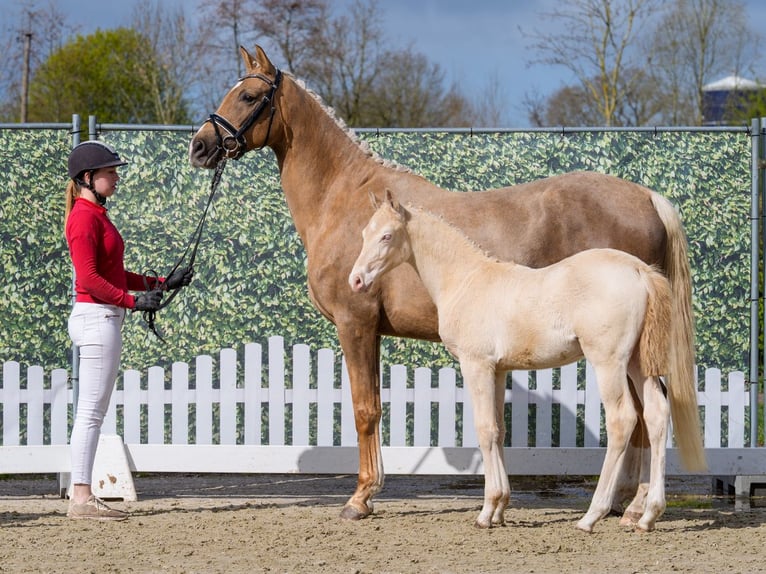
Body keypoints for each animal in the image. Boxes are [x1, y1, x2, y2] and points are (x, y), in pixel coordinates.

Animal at [348, 190, 706, 532]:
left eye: (387, 236)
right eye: (364, 233)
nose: (355, 280)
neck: (466, 280)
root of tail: (640, 271)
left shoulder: (476, 365)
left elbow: (484, 429)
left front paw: (486, 512)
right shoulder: (498, 370)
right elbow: (499, 430)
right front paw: (499, 509)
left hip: (608, 362)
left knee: (624, 420)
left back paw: (592, 516)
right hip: (637, 362)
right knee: (657, 415)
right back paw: (648, 516)